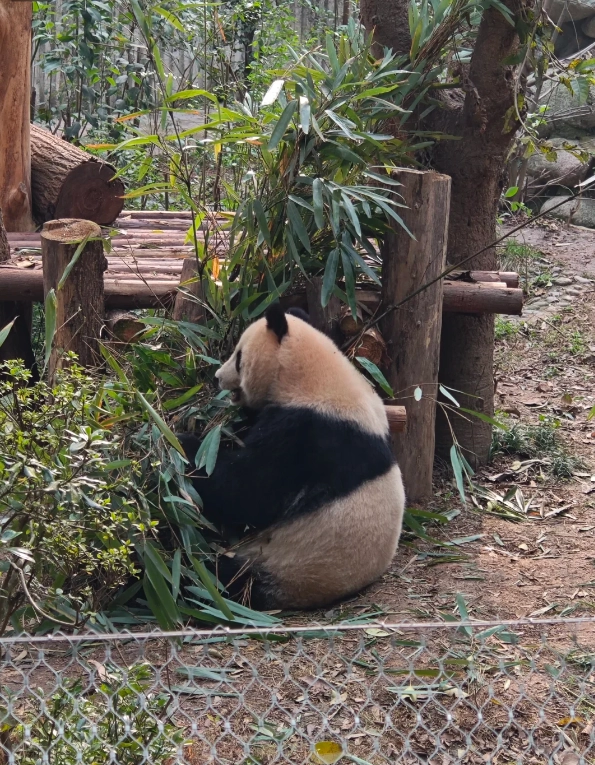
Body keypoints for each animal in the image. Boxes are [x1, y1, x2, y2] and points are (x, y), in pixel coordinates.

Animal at [181, 302, 405, 610]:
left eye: (238, 357)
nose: (217, 377)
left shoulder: (309, 434)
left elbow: (248, 491)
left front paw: (186, 443)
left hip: (282, 566)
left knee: (213, 574)